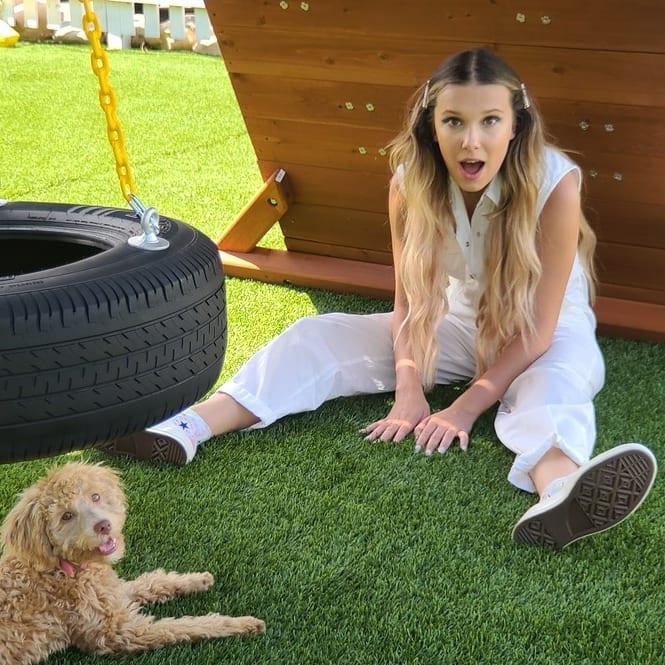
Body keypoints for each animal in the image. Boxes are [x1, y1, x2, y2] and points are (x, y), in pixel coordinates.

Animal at [0, 462, 264, 664]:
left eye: (95, 496)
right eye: (66, 516)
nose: (104, 525)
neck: (62, 570)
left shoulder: (112, 595)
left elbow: (150, 582)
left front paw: (197, 579)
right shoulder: (117, 633)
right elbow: (182, 627)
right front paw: (239, 624)